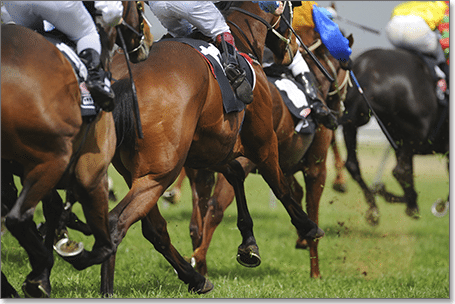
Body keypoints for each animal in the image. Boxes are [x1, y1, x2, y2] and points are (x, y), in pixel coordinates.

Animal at [0, 1, 151, 296]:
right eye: (140, 6)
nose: (147, 40)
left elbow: (54, 209)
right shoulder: (91, 175)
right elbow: (104, 245)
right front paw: (64, 259)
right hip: (54, 159)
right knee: (17, 217)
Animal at [101, 1, 326, 296]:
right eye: (292, 11)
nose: (293, 50)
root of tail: (124, 79)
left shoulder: (210, 149)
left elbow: (235, 176)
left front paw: (249, 245)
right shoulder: (263, 141)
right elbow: (279, 185)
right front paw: (308, 226)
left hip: (135, 171)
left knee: (154, 229)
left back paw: (195, 278)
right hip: (160, 172)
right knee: (117, 222)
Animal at [185, 24, 352, 280]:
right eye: (346, 66)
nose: (341, 107)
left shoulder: (282, 165)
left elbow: (294, 193)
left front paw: (302, 238)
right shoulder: (315, 168)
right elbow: (311, 209)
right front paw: (315, 270)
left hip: (200, 167)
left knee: (197, 219)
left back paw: (201, 264)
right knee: (215, 207)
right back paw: (202, 256)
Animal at [340, 48, 450, 226]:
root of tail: (368, 70)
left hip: (355, 121)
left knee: (352, 164)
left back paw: (375, 207)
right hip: (416, 133)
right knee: (400, 171)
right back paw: (410, 205)